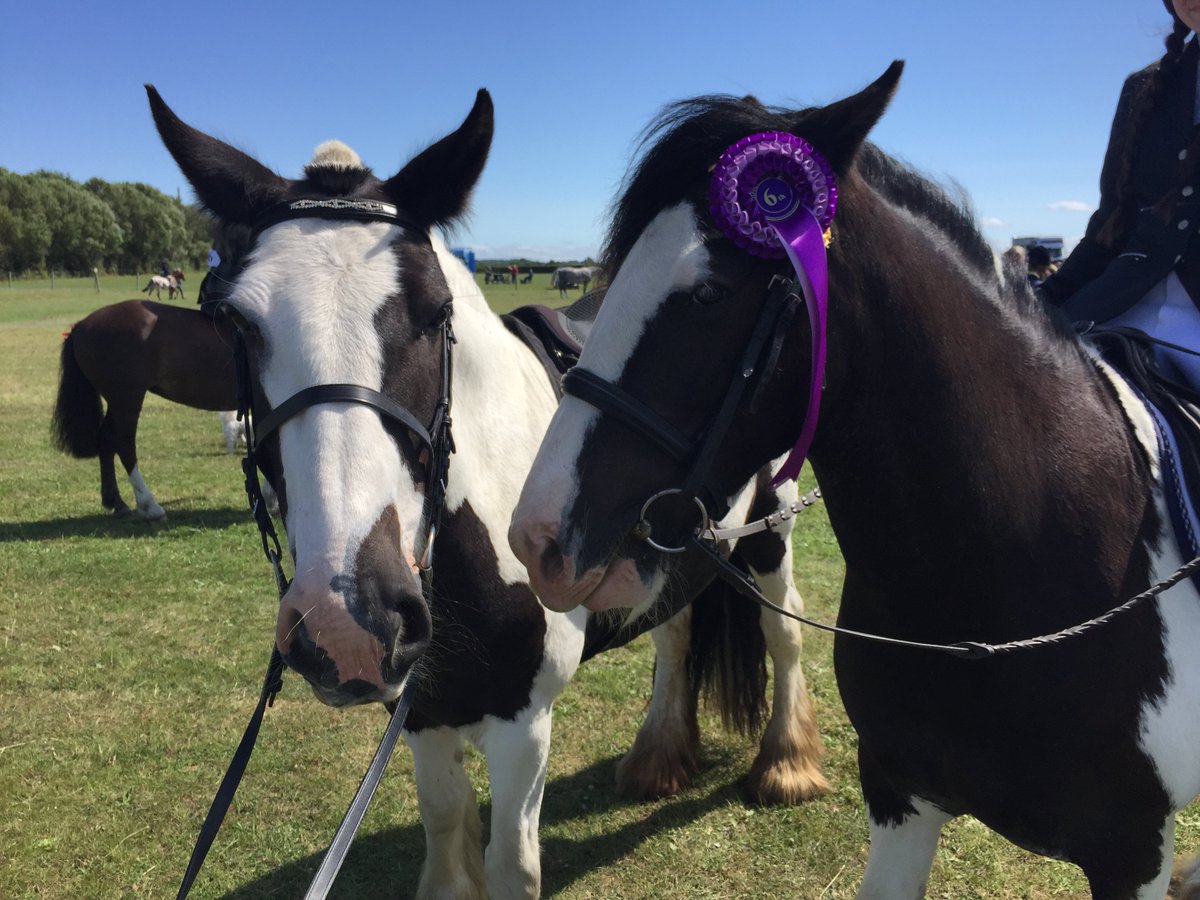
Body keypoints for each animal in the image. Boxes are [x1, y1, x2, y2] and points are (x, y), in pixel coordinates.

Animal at [52, 299, 240, 519]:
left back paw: (117, 502)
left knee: (106, 440)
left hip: (118, 401)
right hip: (127, 399)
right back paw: (149, 505)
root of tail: (81, 325)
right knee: (124, 443)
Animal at [146, 85, 827, 897]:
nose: (350, 619)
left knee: (784, 632)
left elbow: (512, 866)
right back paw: (659, 757)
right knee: (676, 631)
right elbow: (447, 832)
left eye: (435, 312)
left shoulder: (523, 725)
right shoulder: (423, 718)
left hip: (769, 534)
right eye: (236, 324)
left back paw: (786, 765)